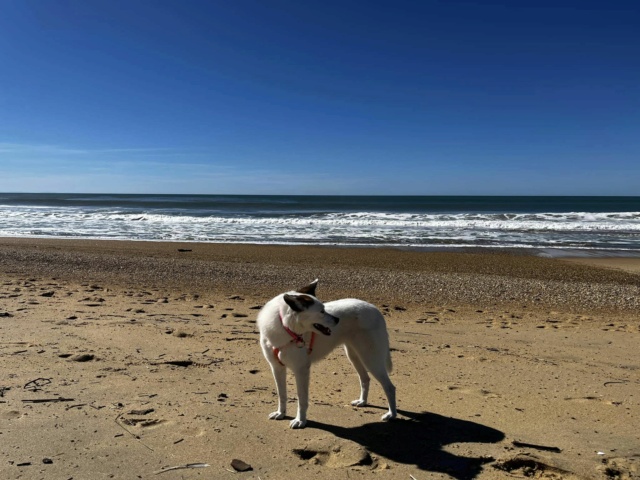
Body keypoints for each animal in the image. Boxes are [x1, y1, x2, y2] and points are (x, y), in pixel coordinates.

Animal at [256, 280, 396, 430]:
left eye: (324, 308)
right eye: (321, 312)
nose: (337, 320)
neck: (285, 326)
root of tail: (376, 310)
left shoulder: (301, 370)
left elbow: (302, 399)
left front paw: (300, 420)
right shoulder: (277, 368)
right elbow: (281, 394)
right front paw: (281, 413)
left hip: (371, 358)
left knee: (390, 387)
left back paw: (391, 415)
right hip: (354, 356)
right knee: (365, 379)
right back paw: (362, 401)